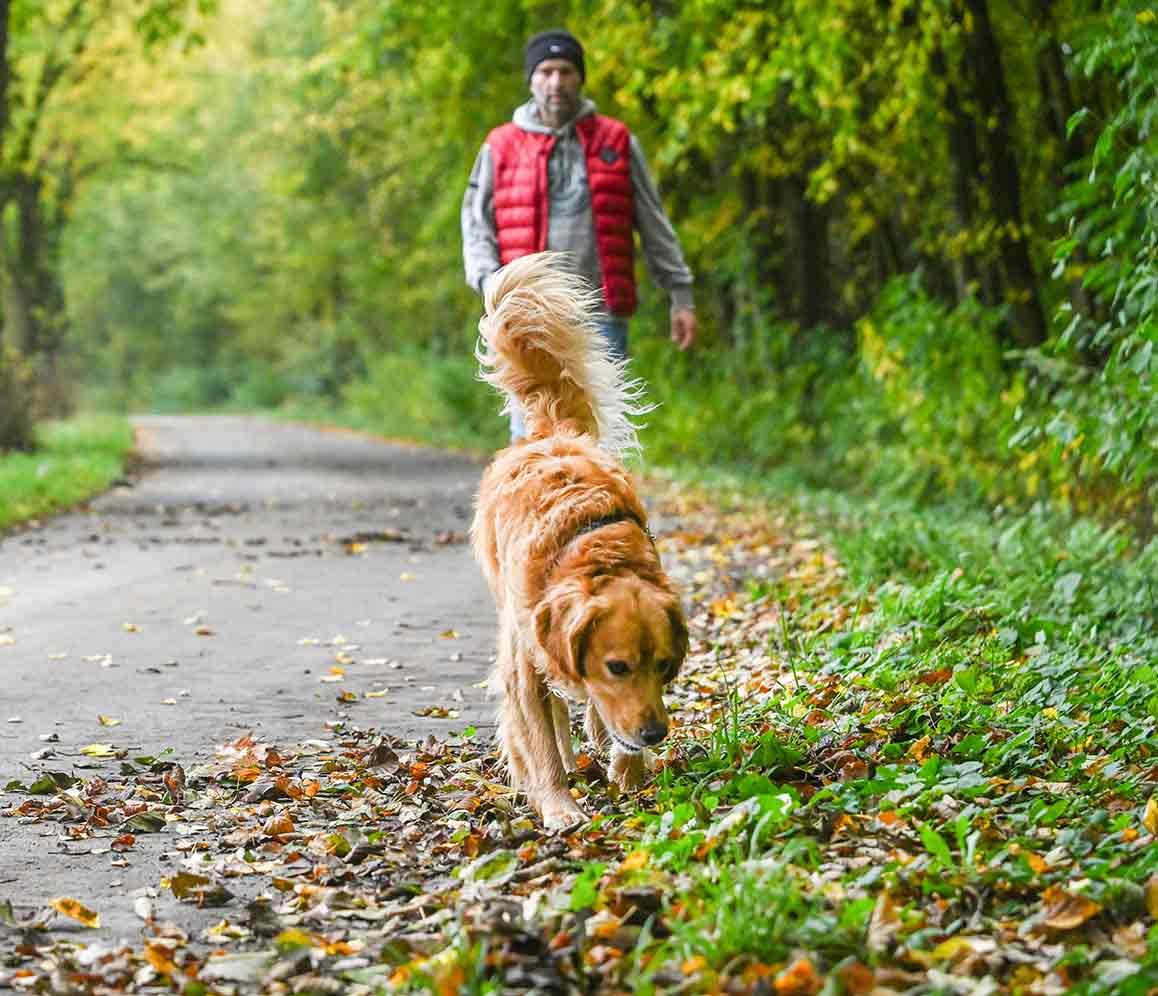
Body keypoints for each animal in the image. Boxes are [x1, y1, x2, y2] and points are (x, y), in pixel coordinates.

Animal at [470, 252, 685, 829]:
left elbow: (607, 719)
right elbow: (540, 741)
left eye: (664, 665)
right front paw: (559, 806)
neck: (591, 552)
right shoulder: (522, 664)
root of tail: (552, 434)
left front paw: (628, 772)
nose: (655, 733)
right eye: (618, 666)